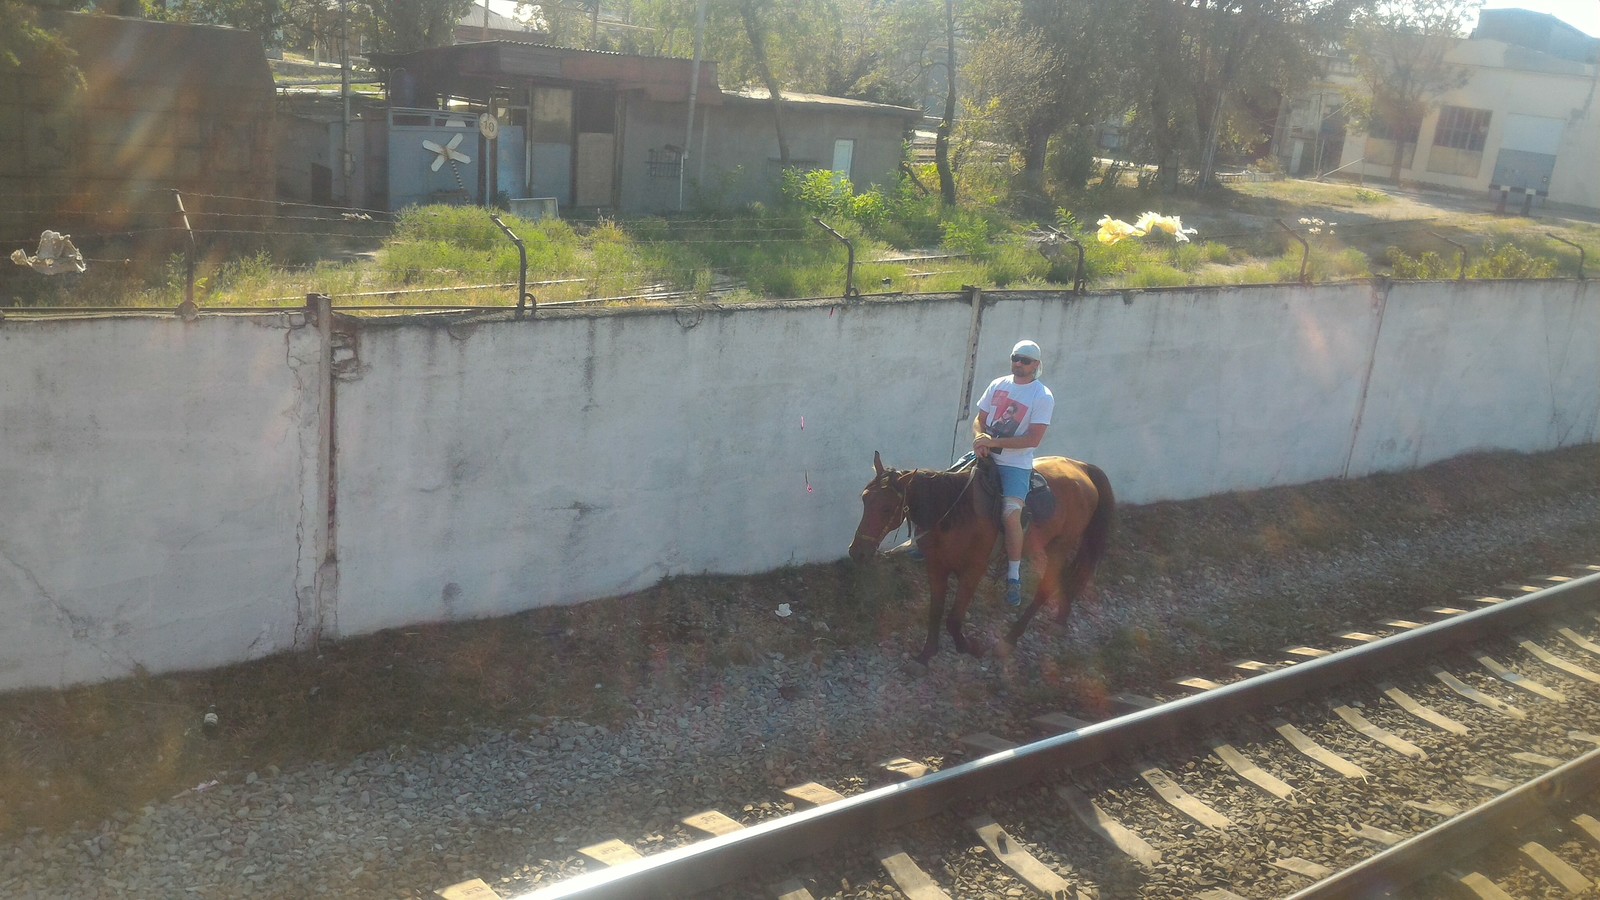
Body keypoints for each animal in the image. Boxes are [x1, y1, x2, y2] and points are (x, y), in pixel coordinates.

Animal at [851, 451, 1113, 662]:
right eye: (864, 498)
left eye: (887, 508)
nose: (857, 552)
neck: (953, 511)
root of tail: (1082, 467)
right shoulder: (936, 566)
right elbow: (936, 612)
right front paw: (926, 655)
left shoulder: (973, 570)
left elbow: (953, 619)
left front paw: (969, 647)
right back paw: (1059, 619)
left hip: (1060, 545)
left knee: (1045, 589)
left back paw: (1010, 639)